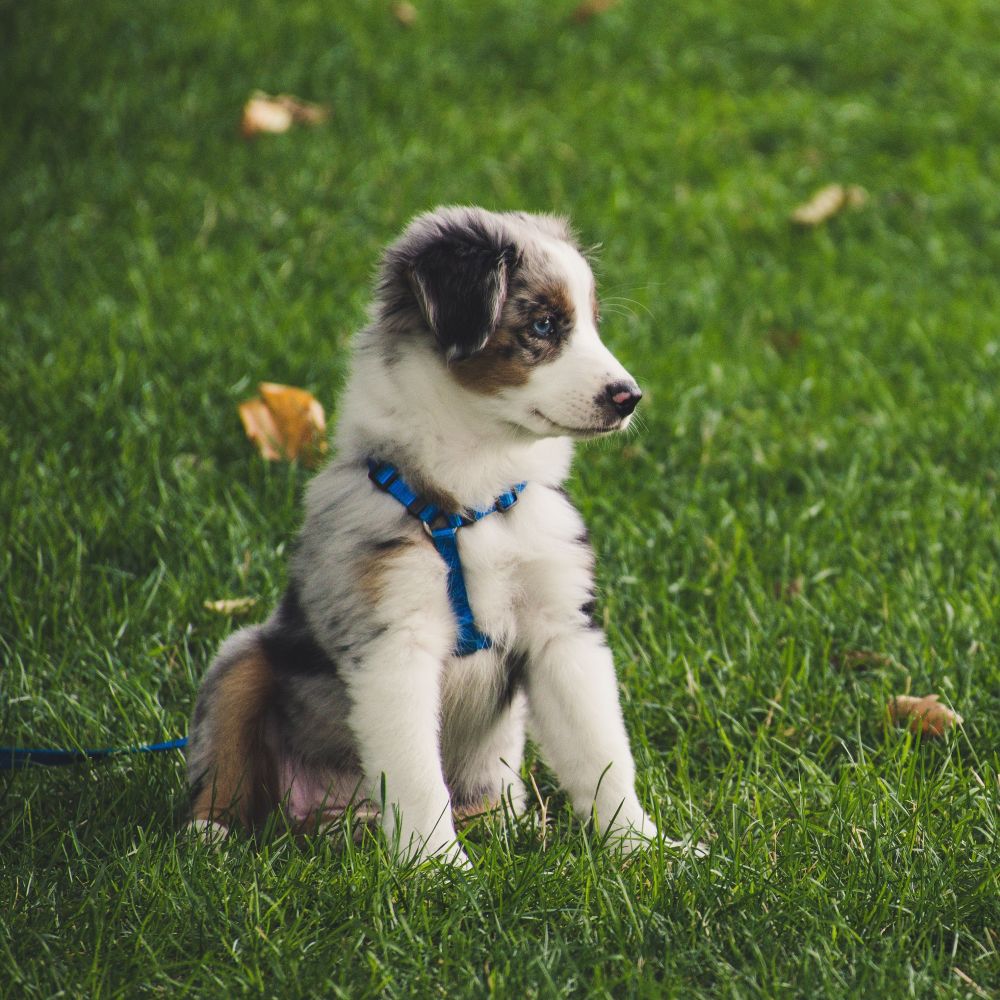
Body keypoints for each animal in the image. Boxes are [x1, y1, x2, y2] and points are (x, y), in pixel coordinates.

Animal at [186, 206, 668, 864]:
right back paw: (210, 834)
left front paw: (648, 851)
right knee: (224, 760)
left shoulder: (563, 628)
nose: (630, 398)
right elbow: (416, 773)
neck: (475, 496)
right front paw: (439, 868)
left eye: (593, 326)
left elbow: (602, 753)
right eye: (544, 324)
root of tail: (330, 816)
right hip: (243, 658)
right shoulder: (394, 641)